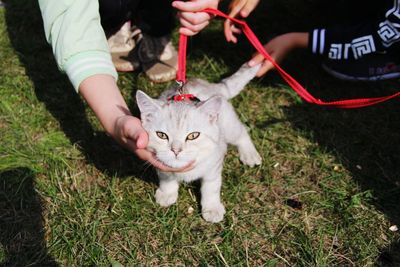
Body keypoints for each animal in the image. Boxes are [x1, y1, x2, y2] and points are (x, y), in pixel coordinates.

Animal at [136, 63, 262, 224]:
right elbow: (166, 177)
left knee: (242, 132)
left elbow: (211, 187)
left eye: (193, 136)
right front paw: (167, 193)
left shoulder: (214, 164)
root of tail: (213, 87)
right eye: (161, 135)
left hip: (229, 127)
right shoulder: (159, 162)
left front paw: (212, 208)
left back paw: (249, 154)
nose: (176, 150)